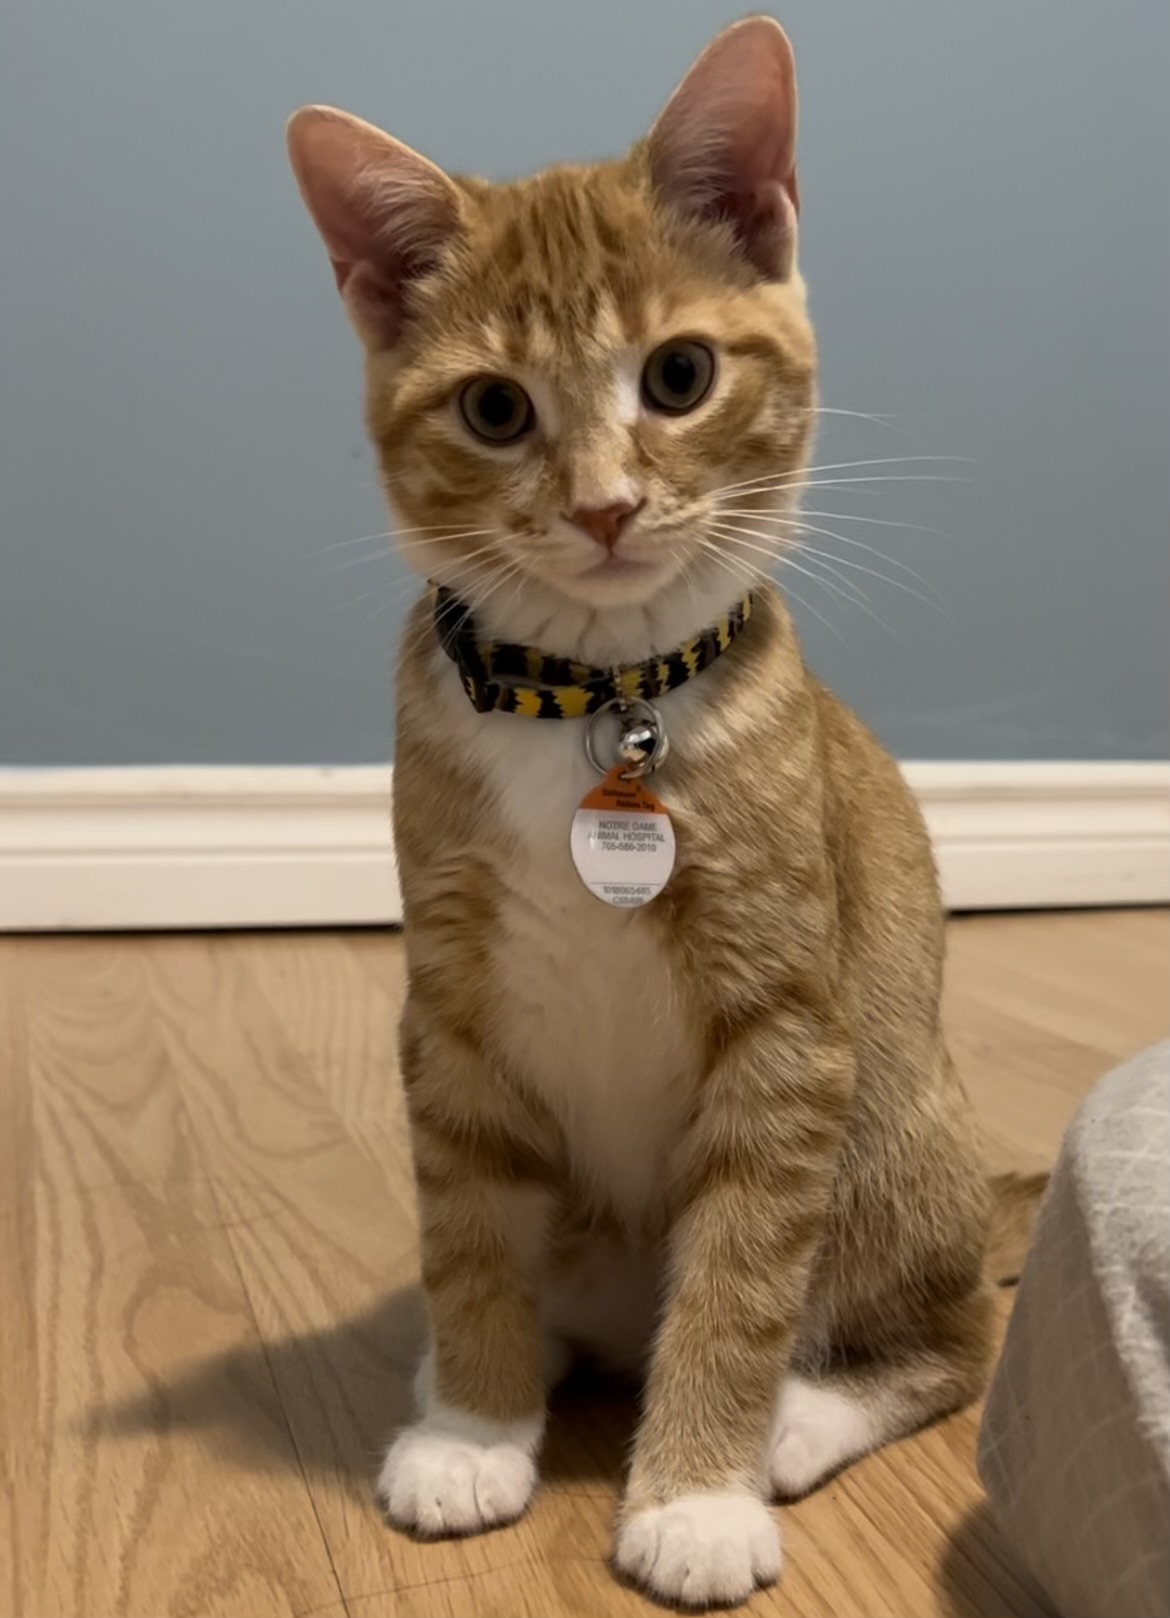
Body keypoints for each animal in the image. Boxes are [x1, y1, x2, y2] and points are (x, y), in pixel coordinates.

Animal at [288, 16, 1042, 1607]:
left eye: (680, 374)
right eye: (494, 408)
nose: (605, 508)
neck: (588, 702)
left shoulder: (789, 1026)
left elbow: (742, 1274)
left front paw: (695, 1488)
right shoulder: (450, 1006)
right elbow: (467, 1227)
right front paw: (473, 1424)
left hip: (889, 1145)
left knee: (947, 1335)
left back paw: (797, 1420)